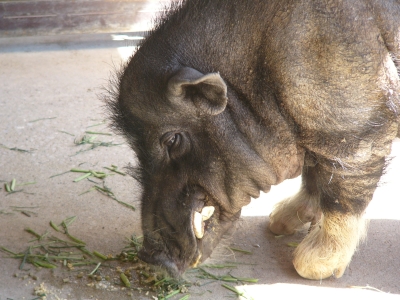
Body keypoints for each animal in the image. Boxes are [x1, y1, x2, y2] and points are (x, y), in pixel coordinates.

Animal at [106, 0, 400, 282]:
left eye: (171, 140)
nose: (149, 256)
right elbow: (314, 174)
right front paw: (277, 223)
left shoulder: (355, 126)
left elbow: (341, 191)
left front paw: (311, 263)